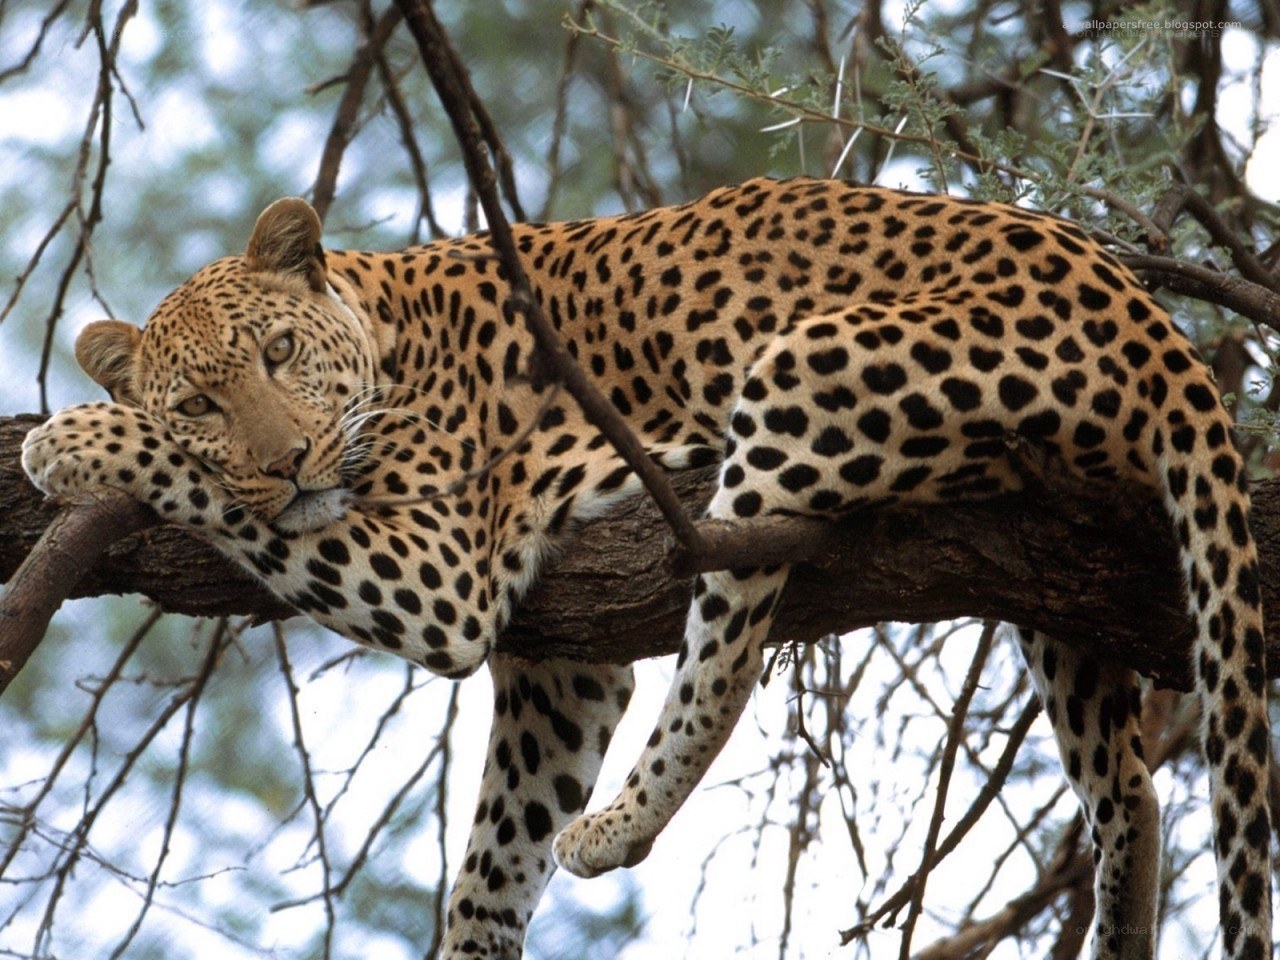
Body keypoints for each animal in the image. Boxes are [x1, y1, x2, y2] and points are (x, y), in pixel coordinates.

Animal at [21, 177, 1271, 959]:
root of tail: (1148, 316)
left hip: (800, 375)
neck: (384, 327)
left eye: (279, 353)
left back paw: (619, 826)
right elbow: (494, 853)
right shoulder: (556, 666)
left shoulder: (440, 572)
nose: (285, 464)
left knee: (724, 658)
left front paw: (73, 440)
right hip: (1058, 578)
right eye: (200, 399)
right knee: (1127, 784)